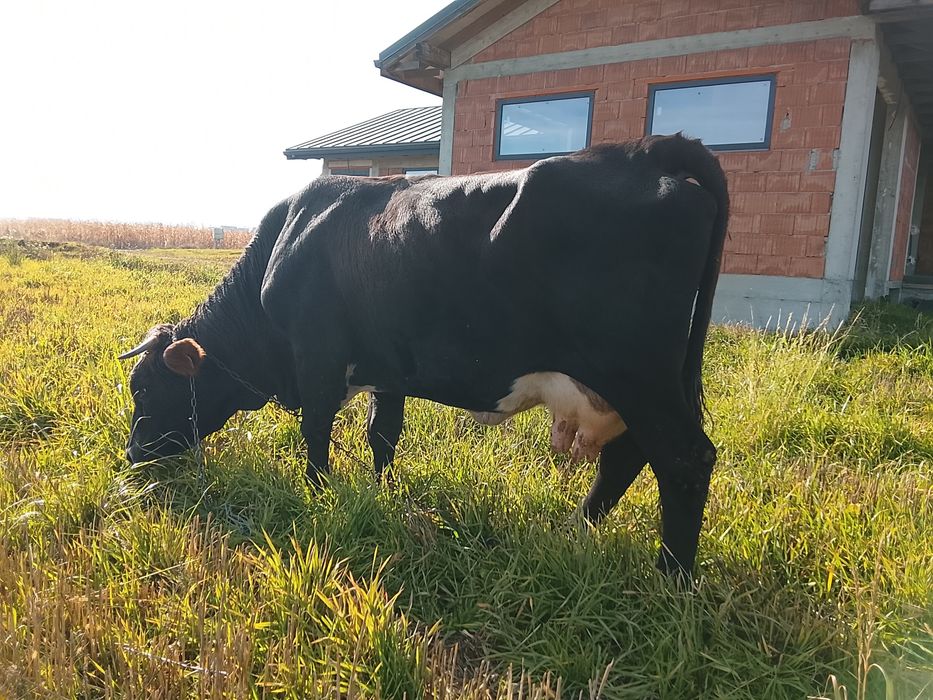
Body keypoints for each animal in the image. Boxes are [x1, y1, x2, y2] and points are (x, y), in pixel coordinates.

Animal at [118, 134, 728, 577]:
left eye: (145, 387)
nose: (132, 454)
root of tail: (648, 150)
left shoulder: (317, 357)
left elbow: (315, 432)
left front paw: (318, 494)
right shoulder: (387, 367)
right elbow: (382, 435)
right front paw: (380, 493)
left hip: (637, 375)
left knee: (683, 461)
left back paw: (672, 579)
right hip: (644, 384)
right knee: (629, 457)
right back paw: (574, 532)